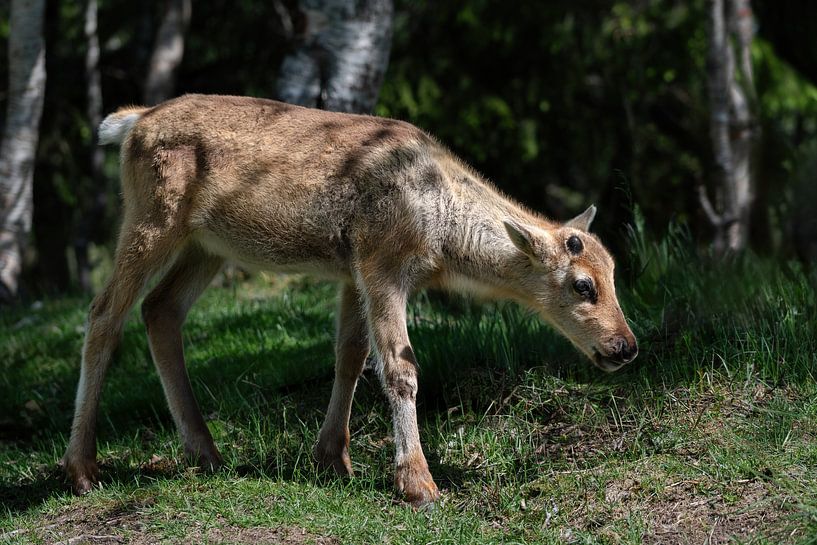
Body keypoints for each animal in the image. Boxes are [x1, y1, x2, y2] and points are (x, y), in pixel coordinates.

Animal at [62, 94, 638, 507]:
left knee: (160, 309)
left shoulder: (351, 271)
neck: (440, 233)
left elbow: (350, 354)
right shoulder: (381, 261)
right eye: (582, 285)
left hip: (206, 245)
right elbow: (399, 365)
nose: (626, 345)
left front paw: (333, 458)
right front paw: (418, 484)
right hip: (152, 216)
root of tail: (132, 124)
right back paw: (82, 469)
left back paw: (205, 453)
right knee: (104, 313)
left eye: (614, 273)